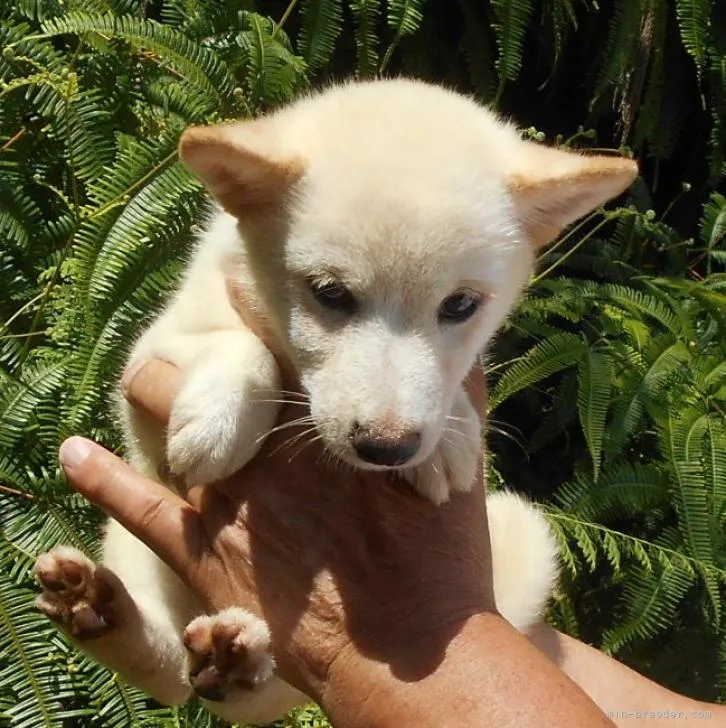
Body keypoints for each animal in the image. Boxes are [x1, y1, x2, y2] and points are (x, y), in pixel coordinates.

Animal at [34, 79, 636, 724]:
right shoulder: (150, 361)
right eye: (330, 293)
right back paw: (101, 607)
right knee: (166, 669)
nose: (388, 447)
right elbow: (246, 352)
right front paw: (220, 423)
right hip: (137, 553)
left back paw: (231, 656)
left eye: (460, 306)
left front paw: (449, 436)